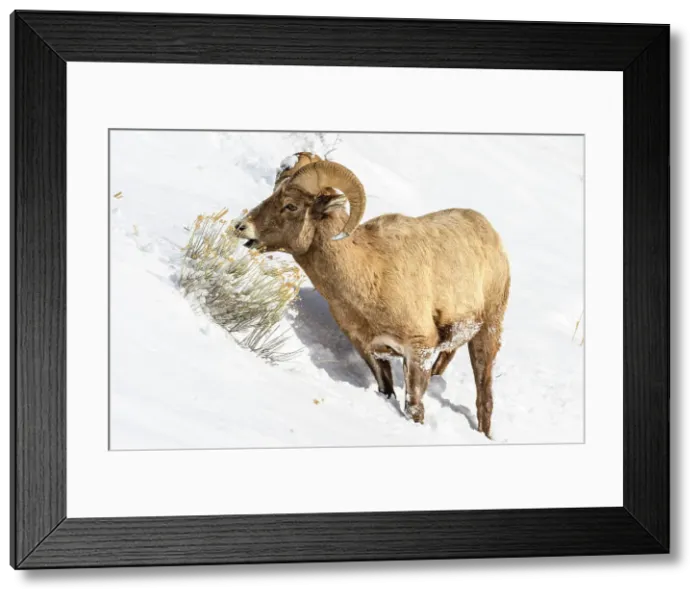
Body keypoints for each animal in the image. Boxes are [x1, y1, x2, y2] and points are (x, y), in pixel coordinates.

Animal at [233, 154, 510, 438]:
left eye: (291, 205)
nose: (241, 227)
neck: (370, 277)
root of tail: (489, 231)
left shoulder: (418, 350)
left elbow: (414, 409)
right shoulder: (372, 352)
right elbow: (386, 393)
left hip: (487, 332)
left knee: (484, 398)